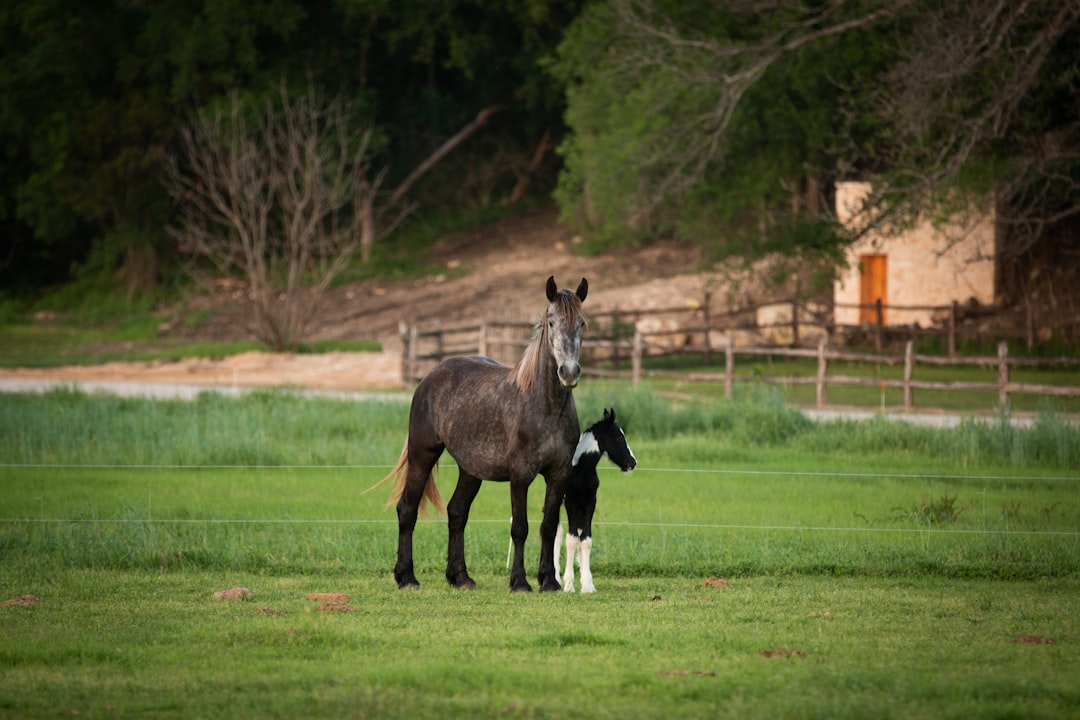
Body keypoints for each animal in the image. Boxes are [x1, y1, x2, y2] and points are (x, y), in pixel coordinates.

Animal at [378, 276, 587, 591]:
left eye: (582, 324)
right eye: (551, 322)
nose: (569, 372)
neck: (545, 406)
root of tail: (428, 377)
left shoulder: (559, 474)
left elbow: (548, 527)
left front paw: (549, 581)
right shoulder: (520, 475)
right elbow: (520, 527)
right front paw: (520, 582)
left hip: (470, 470)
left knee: (457, 513)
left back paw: (460, 577)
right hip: (422, 454)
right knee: (407, 509)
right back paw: (407, 577)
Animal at [552, 408, 635, 595]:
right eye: (619, 438)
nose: (633, 463)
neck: (581, 469)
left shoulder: (590, 502)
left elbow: (586, 540)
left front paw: (587, 585)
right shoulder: (571, 503)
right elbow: (571, 539)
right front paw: (569, 584)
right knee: (557, 533)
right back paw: (555, 578)